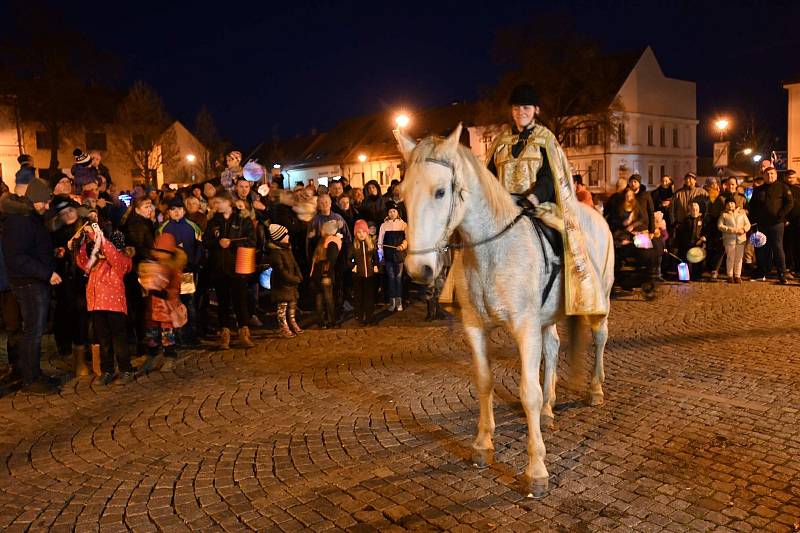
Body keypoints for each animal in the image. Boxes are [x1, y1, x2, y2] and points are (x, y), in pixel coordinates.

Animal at [396, 123, 616, 494]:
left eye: (440, 192)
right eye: (402, 196)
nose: (419, 270)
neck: (492, 252)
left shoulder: (524, 327)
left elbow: (528, 392)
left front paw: (537, 469)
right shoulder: (475, 327)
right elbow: (485, 382)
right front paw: (483, 444)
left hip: (598, 299)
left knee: (600, 337)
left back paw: (595, 390)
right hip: (547, 316)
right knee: (553, 347)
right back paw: (550, 409)